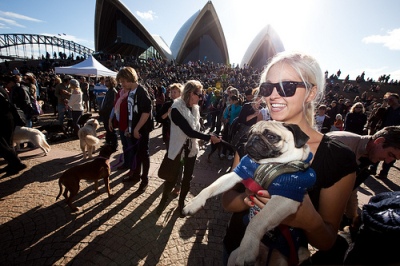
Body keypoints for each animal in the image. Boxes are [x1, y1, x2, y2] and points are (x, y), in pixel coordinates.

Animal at [183, 121, 318, 266]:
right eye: (249, 134)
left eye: (271, 136)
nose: (254, 138)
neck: (266, 165)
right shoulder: (239, 172)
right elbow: (209, 188)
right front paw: (193, 204)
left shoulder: (286, 197)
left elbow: (257, 222)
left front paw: (247, 249)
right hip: (233, 256)